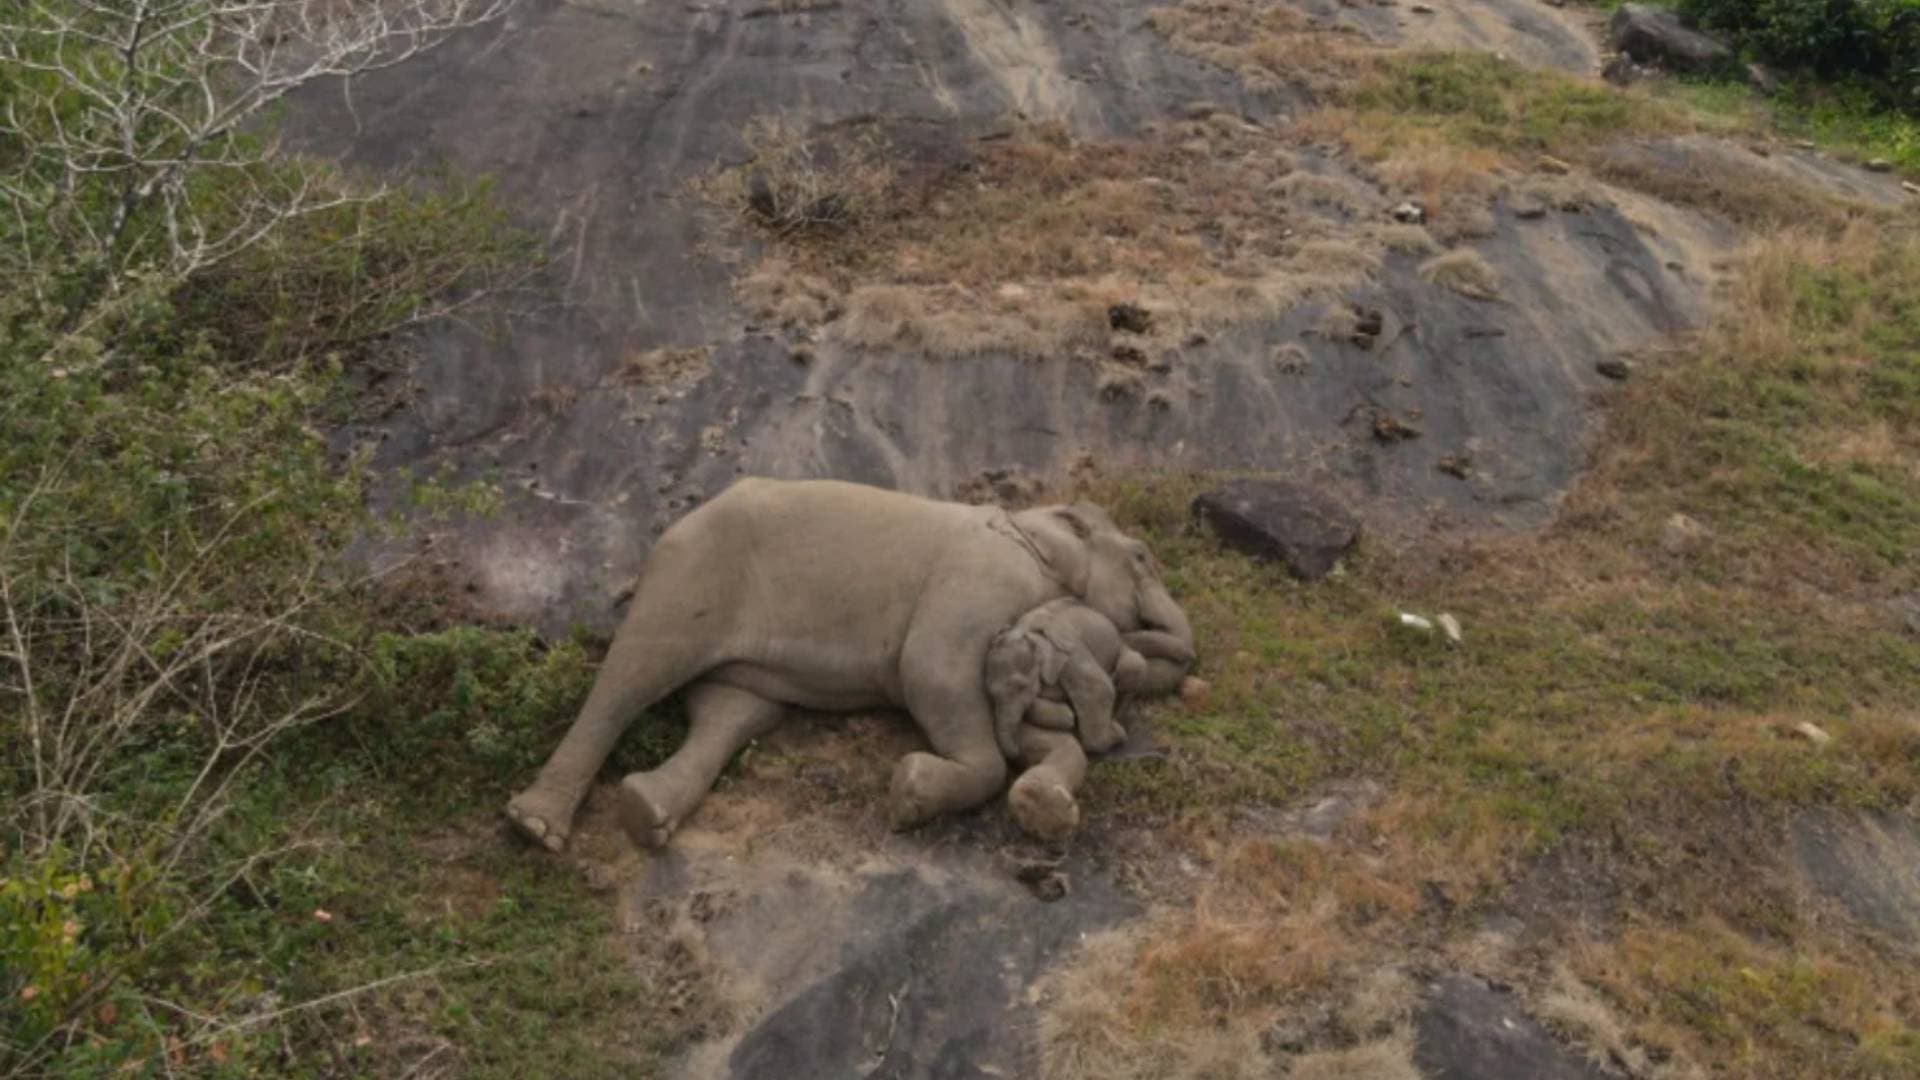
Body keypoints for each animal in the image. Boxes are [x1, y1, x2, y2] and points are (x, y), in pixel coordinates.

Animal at [503, 477, 1194, 853]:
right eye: (1141, 557)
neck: (1032, 523)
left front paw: (1043, 799)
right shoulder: (979, 579)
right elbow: (933, 671)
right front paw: (910, 792)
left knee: (732, 712)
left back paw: (644, 813)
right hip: (691, 576)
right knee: (632, 677)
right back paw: (536, 827)